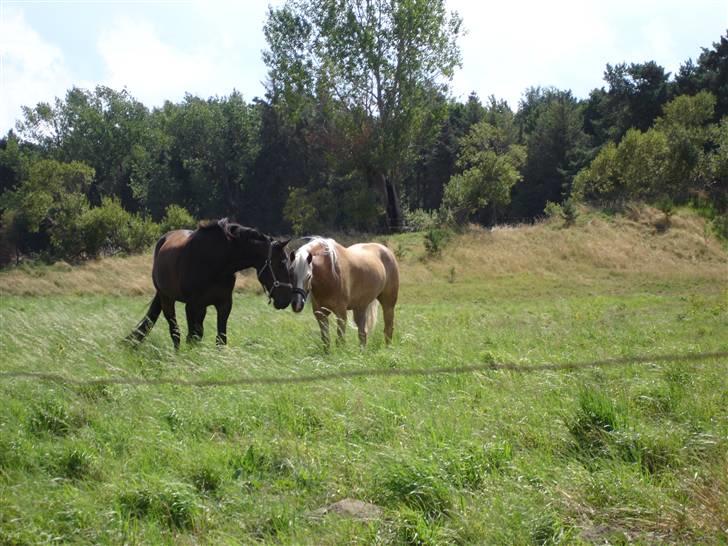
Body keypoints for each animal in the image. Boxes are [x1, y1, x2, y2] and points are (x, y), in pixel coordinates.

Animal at [129, 216, 292, 346]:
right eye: (281, 263)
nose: (286, 299)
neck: (215, 262)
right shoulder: (192, 306)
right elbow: (192, 337)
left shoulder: (224, 305)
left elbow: (220, 339)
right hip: (167, 299)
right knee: (175, 332)